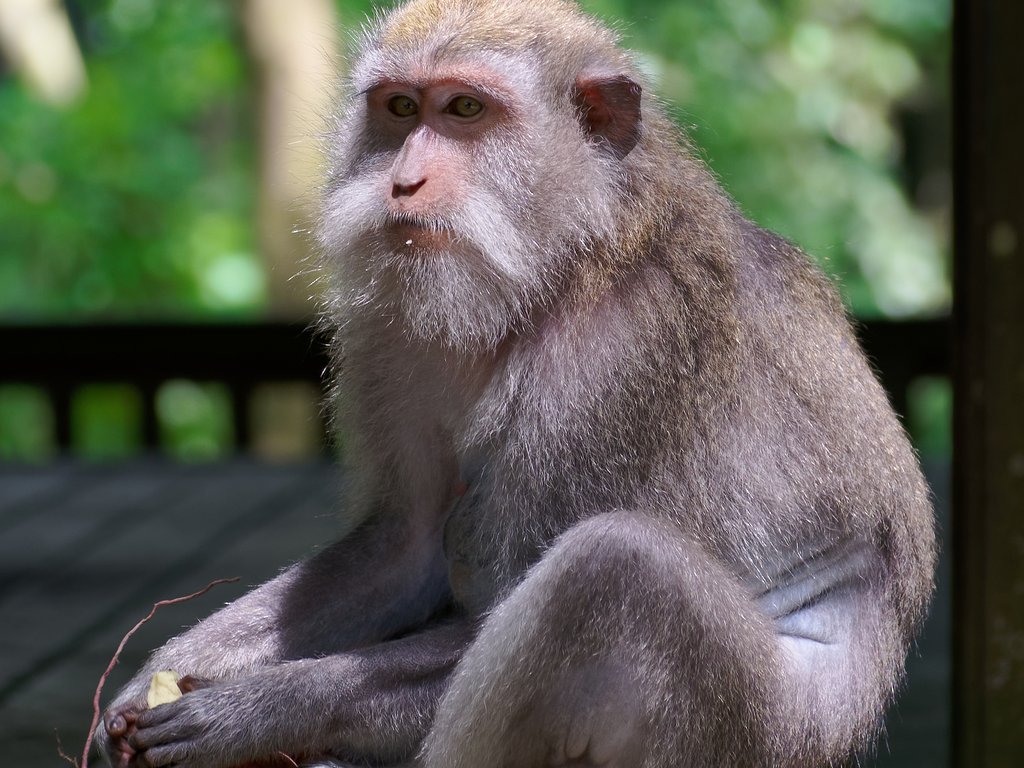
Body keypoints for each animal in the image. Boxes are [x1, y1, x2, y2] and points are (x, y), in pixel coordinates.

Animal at [96, 1, 936, 766]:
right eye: (401, 108)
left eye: (466, 110)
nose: (404, 182)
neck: (561, 268)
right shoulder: (391, 333)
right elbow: (404, 544)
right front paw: (162, 674)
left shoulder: (611, 370)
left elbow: (506, 603)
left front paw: (255, 711)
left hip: (756, 733)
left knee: (617, 570)